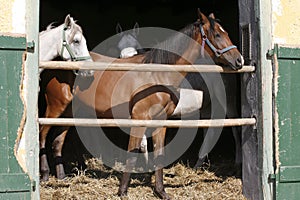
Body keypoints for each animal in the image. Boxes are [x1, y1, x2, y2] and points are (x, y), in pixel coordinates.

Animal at [38, 10, 243, 199]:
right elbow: (133, 152)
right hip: (56, 108)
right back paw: (46, 175)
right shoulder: (139, 119)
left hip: (69, 112)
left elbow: (159, 154)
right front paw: (122, 191)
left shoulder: (160, 121)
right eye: (217, 35)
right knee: (42, 135)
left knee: (57, 141)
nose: (239, 60)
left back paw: (62, 177)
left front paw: (161, 191)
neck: (156, 74)